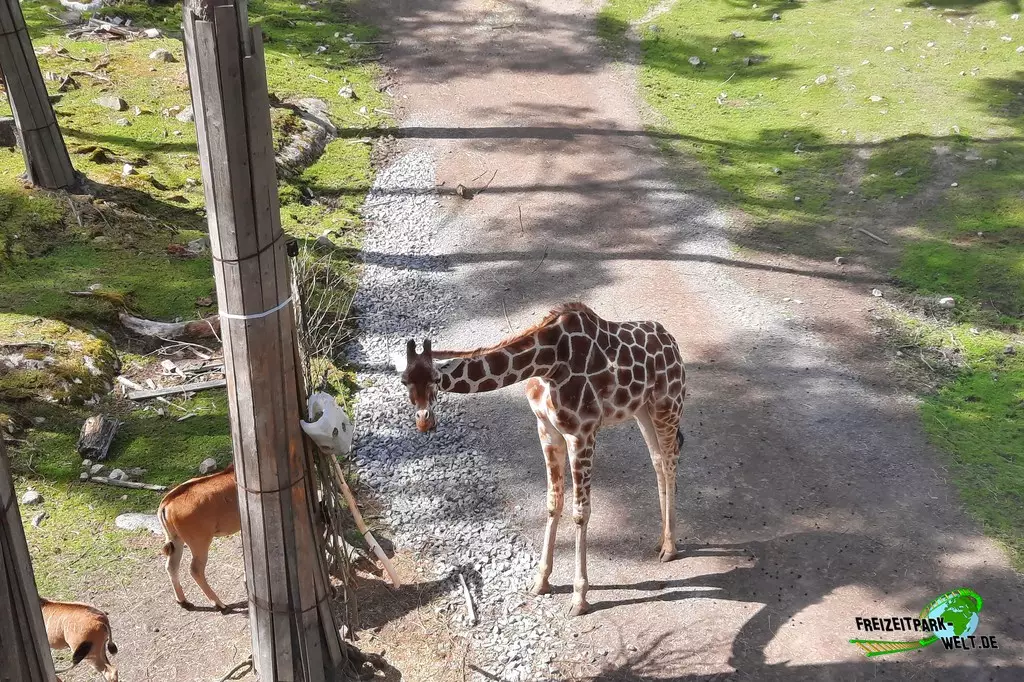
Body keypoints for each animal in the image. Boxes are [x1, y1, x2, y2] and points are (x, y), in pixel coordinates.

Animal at [395, 303, 686, 616]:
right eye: (404, 381)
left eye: (436, 379)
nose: (424, 421)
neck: (548, 363)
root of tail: (671, 341)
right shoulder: (546, 429)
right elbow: (553, 502)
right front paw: (541, 581)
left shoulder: (581, 433)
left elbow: (580, 512)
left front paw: (579, 598)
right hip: (642, 409)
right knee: (657, 460)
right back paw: (661, 540)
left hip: (667, 404)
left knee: (670, 459)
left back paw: (670, 547)